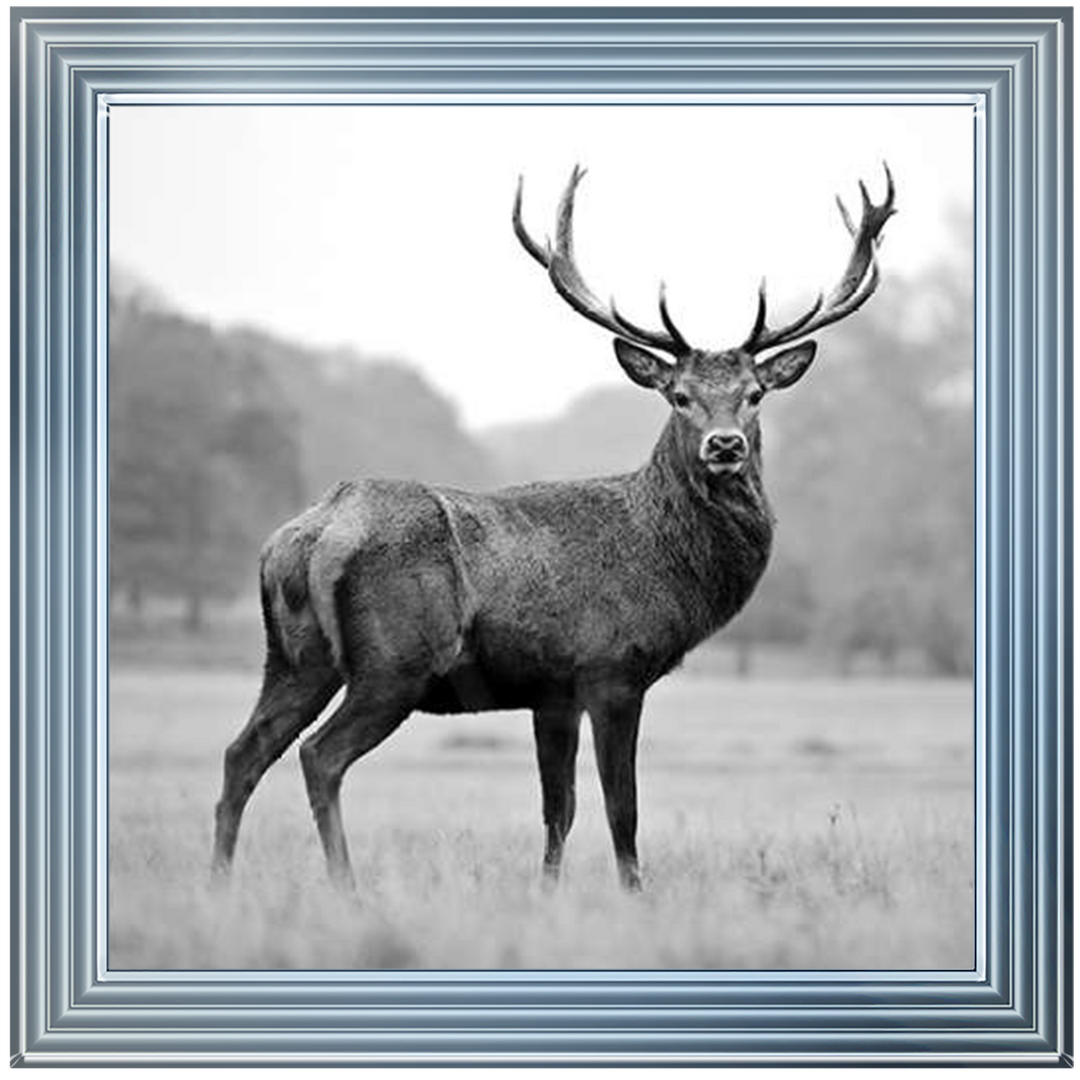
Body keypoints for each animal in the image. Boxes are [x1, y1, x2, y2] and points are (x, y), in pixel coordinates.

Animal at [211, 165, 896, 892]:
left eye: (755, 394)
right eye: (678, 396)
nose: (725, 445)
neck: (667, 563)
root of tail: (311, 533)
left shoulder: (552, 692)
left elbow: (557, 809)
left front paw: (547, 892)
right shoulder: (612, 669)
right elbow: (622, 807)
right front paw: (635, 895)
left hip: (294, 656)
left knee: (242, 752)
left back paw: (219, 880)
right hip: (394, 661)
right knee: (320, 755)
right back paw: (346, 887)